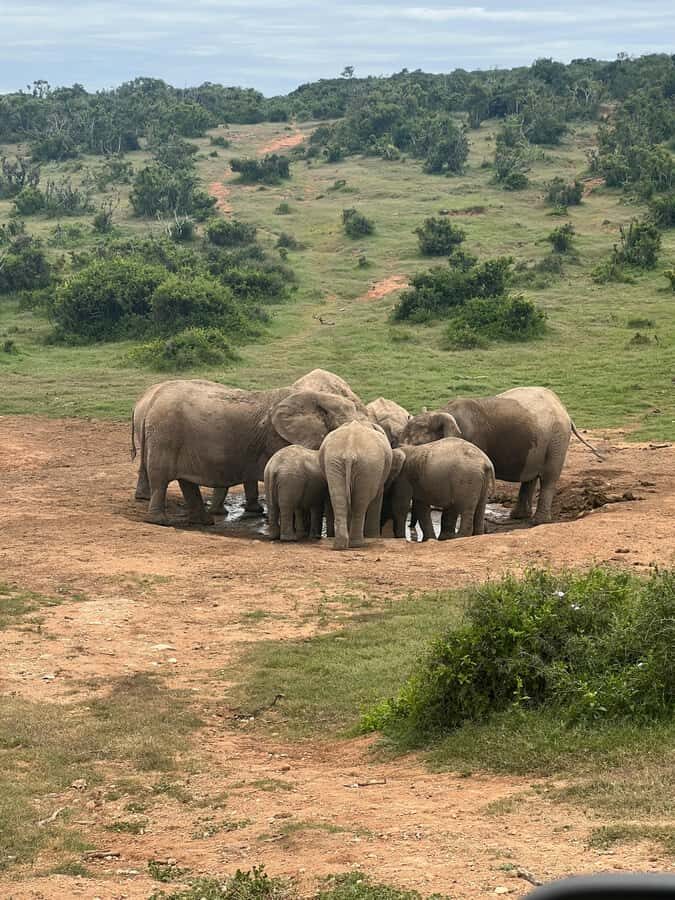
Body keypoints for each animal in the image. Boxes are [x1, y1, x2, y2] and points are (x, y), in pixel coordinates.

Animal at [132, 368, 367, 517]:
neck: (316, 397)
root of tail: (151, 399)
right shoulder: (277, 438)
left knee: (185, 481)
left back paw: (204, 520)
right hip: (164, 436)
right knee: (160, 478)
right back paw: (159, 519)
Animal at [319, 421, 403, 550]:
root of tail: (349, 450)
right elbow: (377, 496)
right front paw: (373, 537)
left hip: (335, 462)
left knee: (340, 498)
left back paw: (340, 545)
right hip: (368, 465)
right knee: (360, 502)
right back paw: (357, 544)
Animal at [399, 387, 602, 525]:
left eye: (418, 445)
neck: (442, 412)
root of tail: (563, 409)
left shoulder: (475, 440)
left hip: (557, 439)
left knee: (548, 477)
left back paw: (538, 521)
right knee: (530, 478)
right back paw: (517, 516)